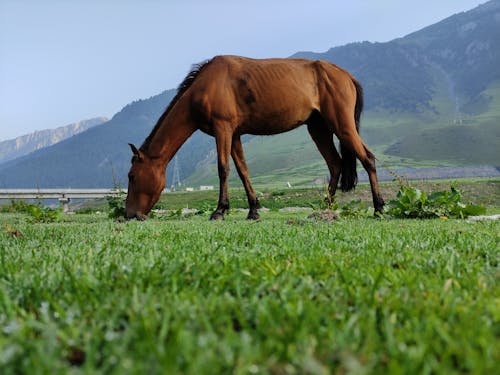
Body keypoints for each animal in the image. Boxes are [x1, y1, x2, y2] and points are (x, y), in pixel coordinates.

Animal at [124, 55, 382, 220]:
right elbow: (243, 170)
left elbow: (223, 169)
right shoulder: (234, 135)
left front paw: (220, 211)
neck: (204, 88)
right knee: (335, 164)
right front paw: (253, 210)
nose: (129, 215)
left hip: (342, 125)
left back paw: (379, 208)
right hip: (318, 128)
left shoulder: (223, 129)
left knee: (368, 159)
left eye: (132, 176)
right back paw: (324, 208)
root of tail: (346, 75)